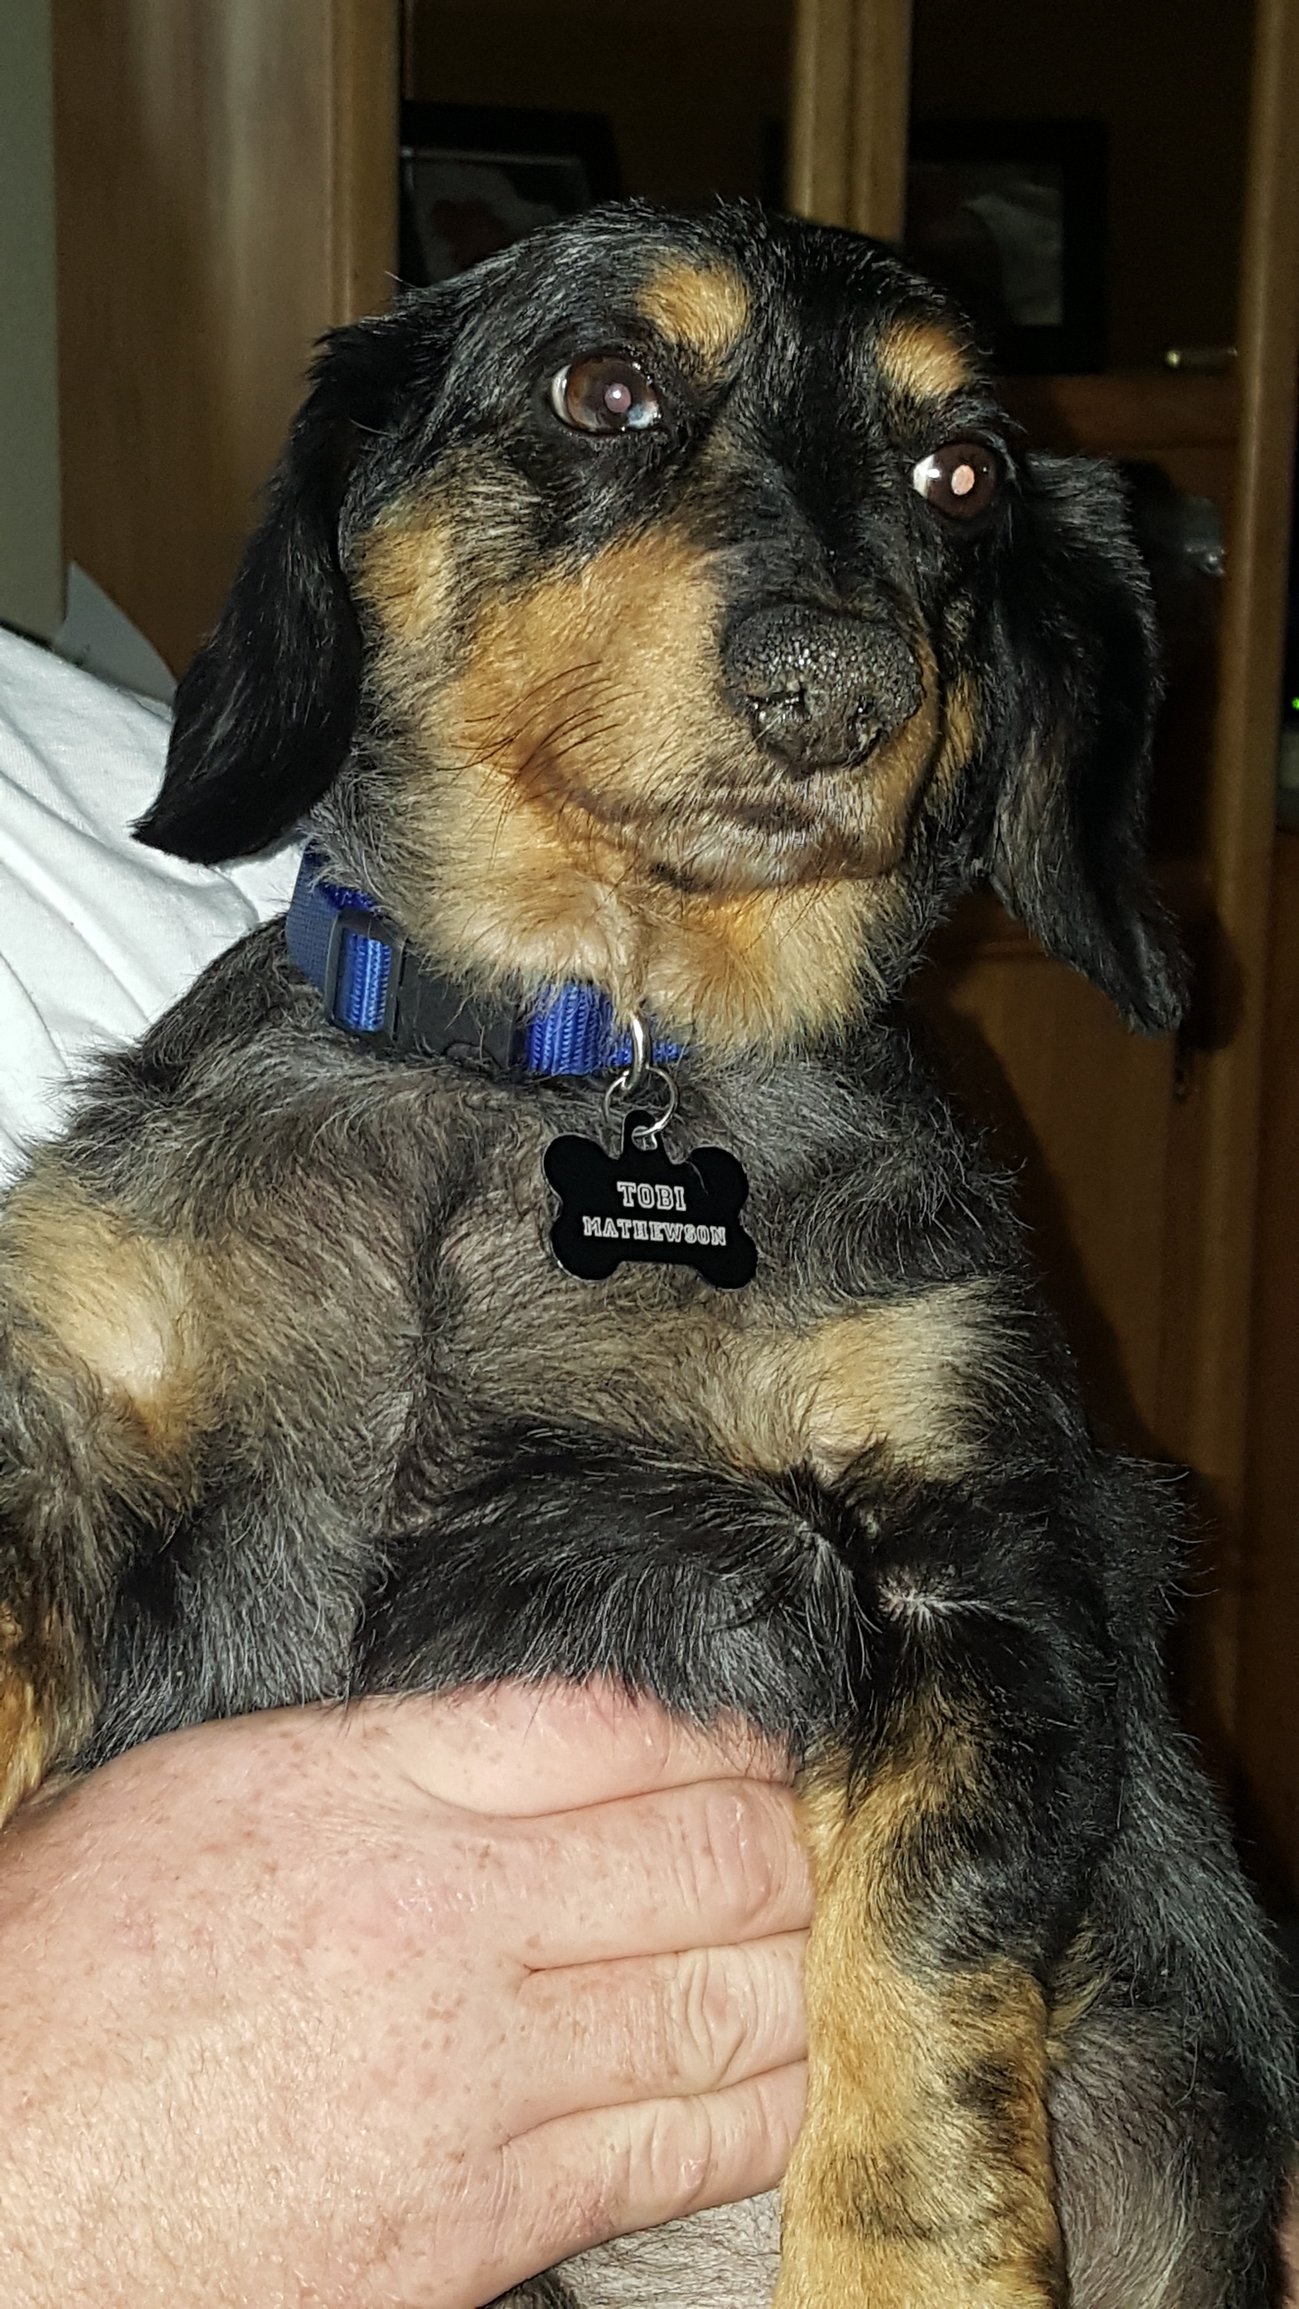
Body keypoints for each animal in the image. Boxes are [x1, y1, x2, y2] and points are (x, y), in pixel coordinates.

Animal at [0, 198, 1293, 2308]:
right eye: (602, 385)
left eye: (962, 474)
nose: (833, 684)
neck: (567, 1056)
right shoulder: (67, 1435)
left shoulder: (984, 1565)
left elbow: (924, 1962)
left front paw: (900, 2261)